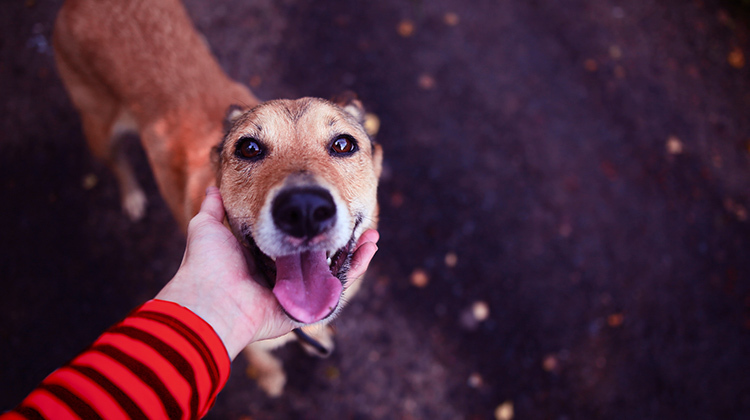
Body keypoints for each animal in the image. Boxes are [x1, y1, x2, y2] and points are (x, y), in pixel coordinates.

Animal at [52, 0, 382, 398]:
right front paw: (270, 378)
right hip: (97, 126)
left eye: (344, 144)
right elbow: (260, 359)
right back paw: (131, 195)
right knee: (116, 161)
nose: (304, 210)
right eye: (249, 148)